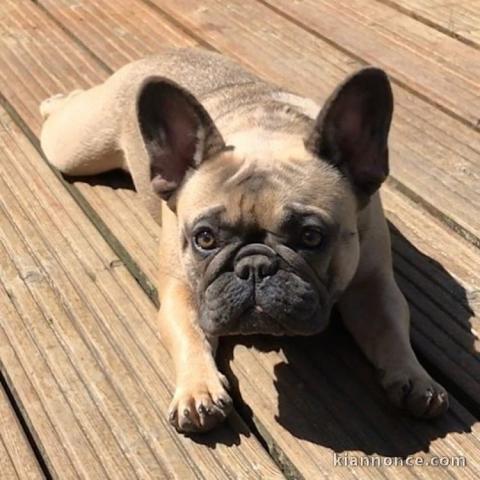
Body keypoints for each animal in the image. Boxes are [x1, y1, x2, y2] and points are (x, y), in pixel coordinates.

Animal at [39, 47, 448, 432]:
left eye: (311, 236)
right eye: (204, 238)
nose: (254, 265)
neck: (266, 131)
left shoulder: (372, 285)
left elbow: (391, 326)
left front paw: (415, 378)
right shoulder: (182, 291)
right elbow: (188, 334)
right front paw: (198, 390)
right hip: (76, 148)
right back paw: (53, 101)